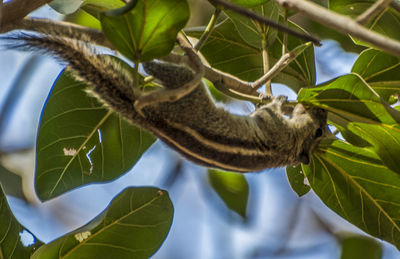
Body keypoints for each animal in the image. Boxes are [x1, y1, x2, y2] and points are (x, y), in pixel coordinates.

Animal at [4, 32, 326, 174]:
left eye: (320, 131)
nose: (320, 107)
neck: (294, 146)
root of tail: (151, 120)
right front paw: (275, 96)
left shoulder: (276, 134)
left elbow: (266, 117)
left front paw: (275, 100)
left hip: (187, 92)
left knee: (161, 70)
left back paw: (180, 51)